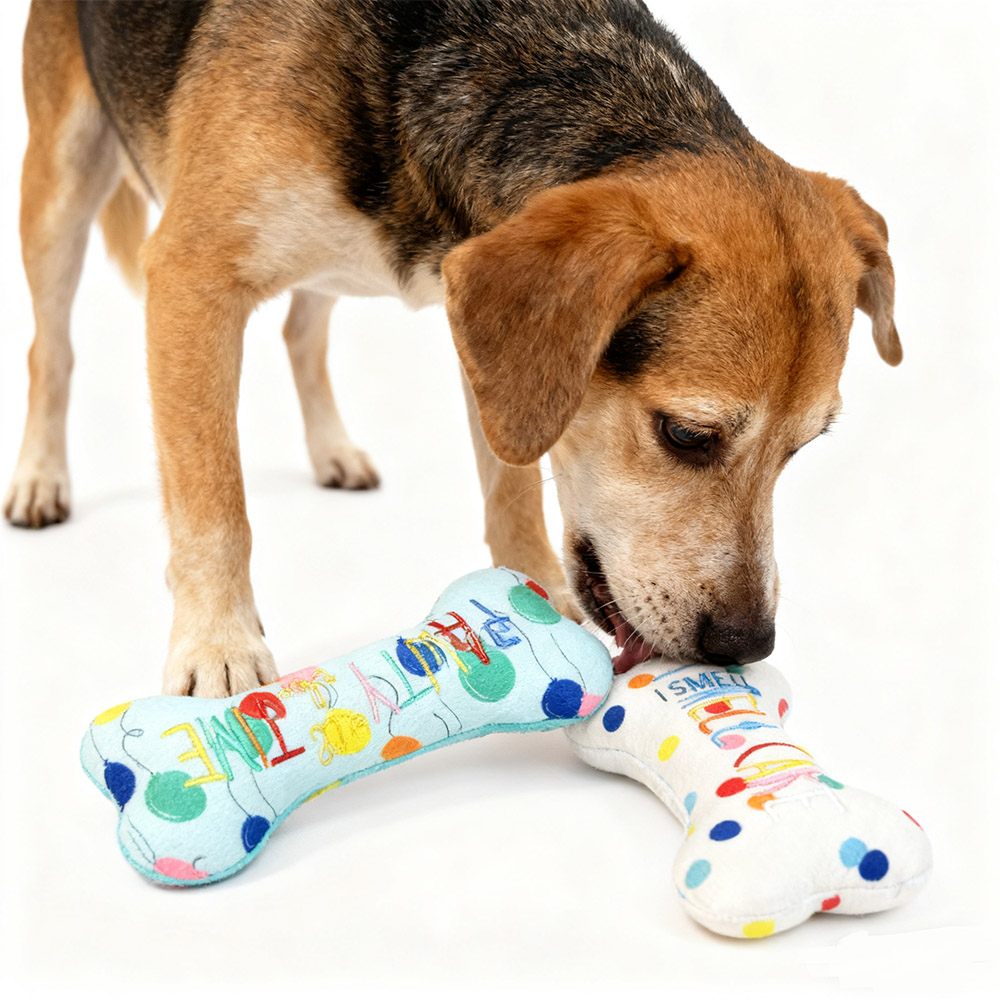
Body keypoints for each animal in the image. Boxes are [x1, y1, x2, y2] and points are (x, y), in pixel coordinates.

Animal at [4, 0, 901, 695]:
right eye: (686, 434)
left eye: (800, 450)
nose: (745, 647)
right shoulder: (191, 279)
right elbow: (213, 501)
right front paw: (219, 646)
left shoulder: (483, 329)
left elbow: (512, 485)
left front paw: (531, 590)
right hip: (60, 176)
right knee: (52, 349)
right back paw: (41, 479)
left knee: (303, 330)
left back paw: (334, 450)